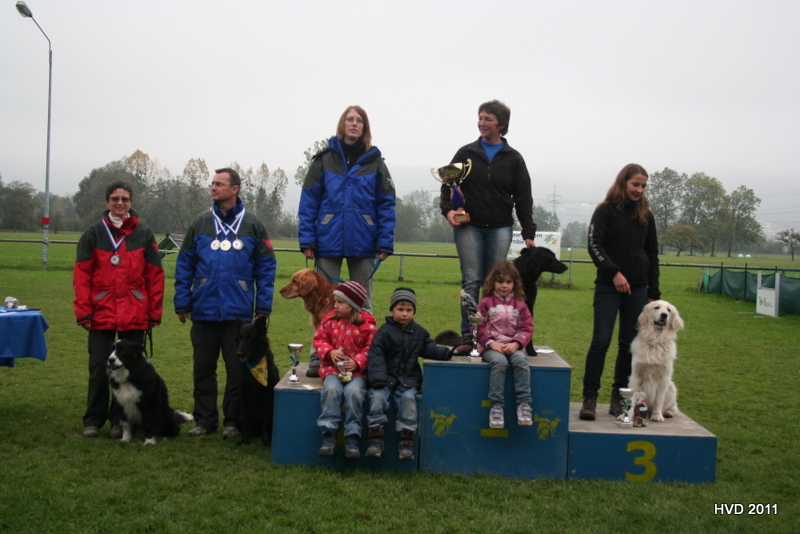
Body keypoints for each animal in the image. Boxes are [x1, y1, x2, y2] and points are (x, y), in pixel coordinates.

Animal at [235, 315, 280, 445]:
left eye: (251, 338)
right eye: (240, 337)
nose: (238, 353)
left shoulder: (268, 396)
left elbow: (266, 421)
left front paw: (266, 440)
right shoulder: (244, 396)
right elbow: (246, 421)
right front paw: (245, 439)